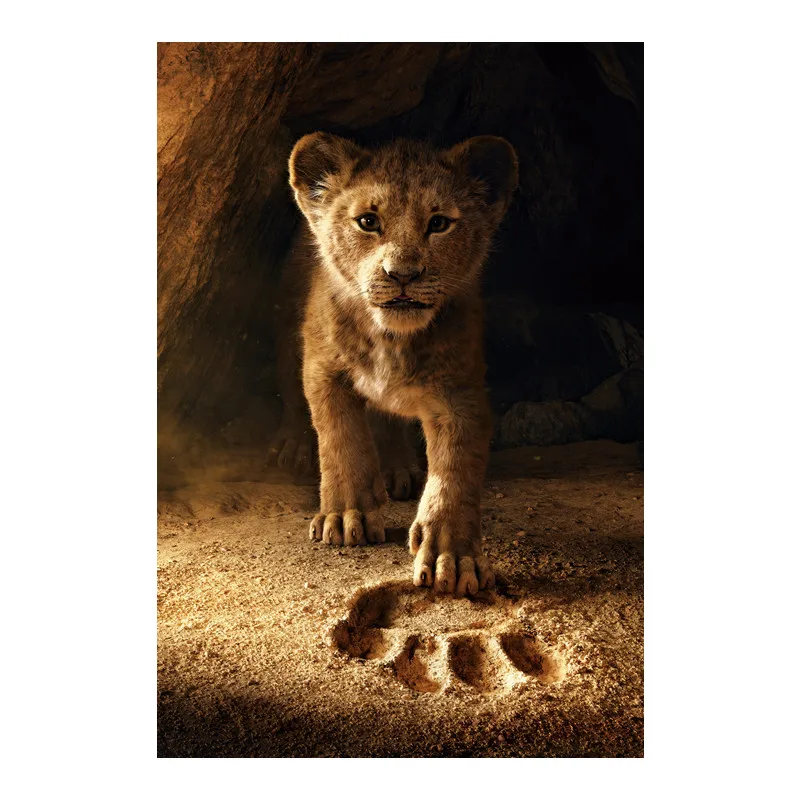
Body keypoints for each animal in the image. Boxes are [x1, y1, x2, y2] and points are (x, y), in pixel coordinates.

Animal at [283, 132, 518, 594]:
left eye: (439, 223)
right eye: (368, 221)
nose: (402, 274)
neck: (391, 338)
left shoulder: (460, 393)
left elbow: (455, 471)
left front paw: (452, 556)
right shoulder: (322, 369)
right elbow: (341, 439)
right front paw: (346, 515)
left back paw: (397, 469)